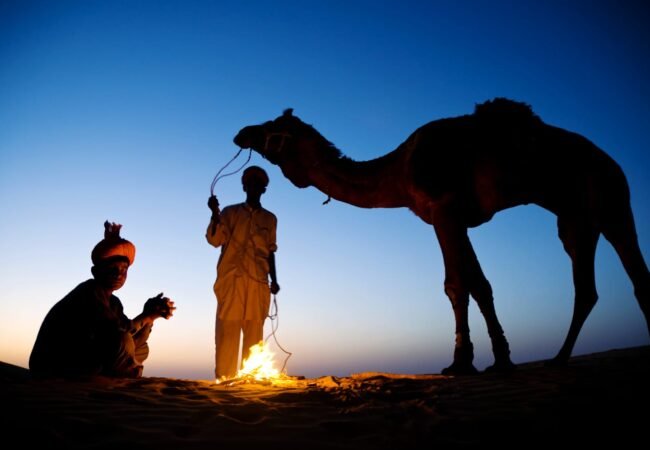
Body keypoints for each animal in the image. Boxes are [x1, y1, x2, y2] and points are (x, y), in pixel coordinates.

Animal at [233, 99, 648, 376]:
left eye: (272, 126)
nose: (241, 132)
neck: (400, 170)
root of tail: (610, 161)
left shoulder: (444, 210)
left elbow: (457, 285)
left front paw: (463, 362)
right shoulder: (449, 218)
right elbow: (478, 284)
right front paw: (499, 358)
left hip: (597, 204)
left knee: (604, 281)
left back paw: (560, 359)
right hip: (595, 214)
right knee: (618, 282)